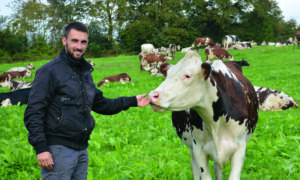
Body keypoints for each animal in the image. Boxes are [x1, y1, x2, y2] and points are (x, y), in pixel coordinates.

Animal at [148, 51, 258, 179]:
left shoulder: (240, 147)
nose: (153, 95)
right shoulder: (198, 148)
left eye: (188, 76)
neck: (216, 122)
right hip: (192, 148)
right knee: (195, 168)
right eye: (168, 75)